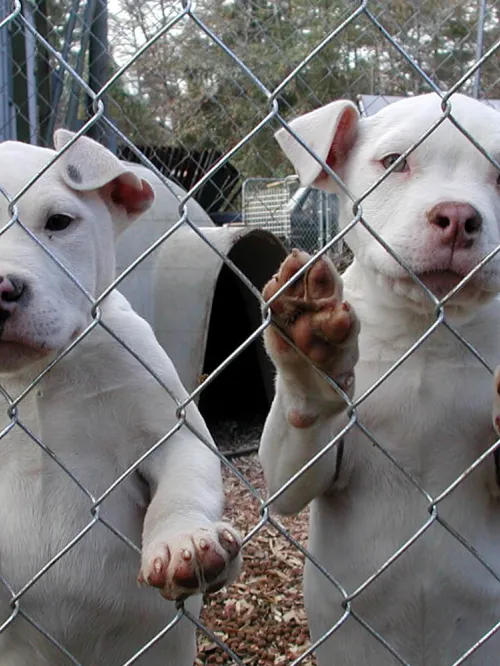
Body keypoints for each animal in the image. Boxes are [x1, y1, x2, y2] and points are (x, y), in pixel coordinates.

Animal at [0, 131, 242, 664]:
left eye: (59, 222)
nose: (0, 288)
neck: (34, 377)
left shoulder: (170, 430)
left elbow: (182, 487)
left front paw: (184, 544)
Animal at [260, 93, 500, 664]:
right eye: (394, 162)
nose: (459, 217)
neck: (425, 331)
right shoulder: (293, 478)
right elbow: (300, 432)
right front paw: (311, 357)